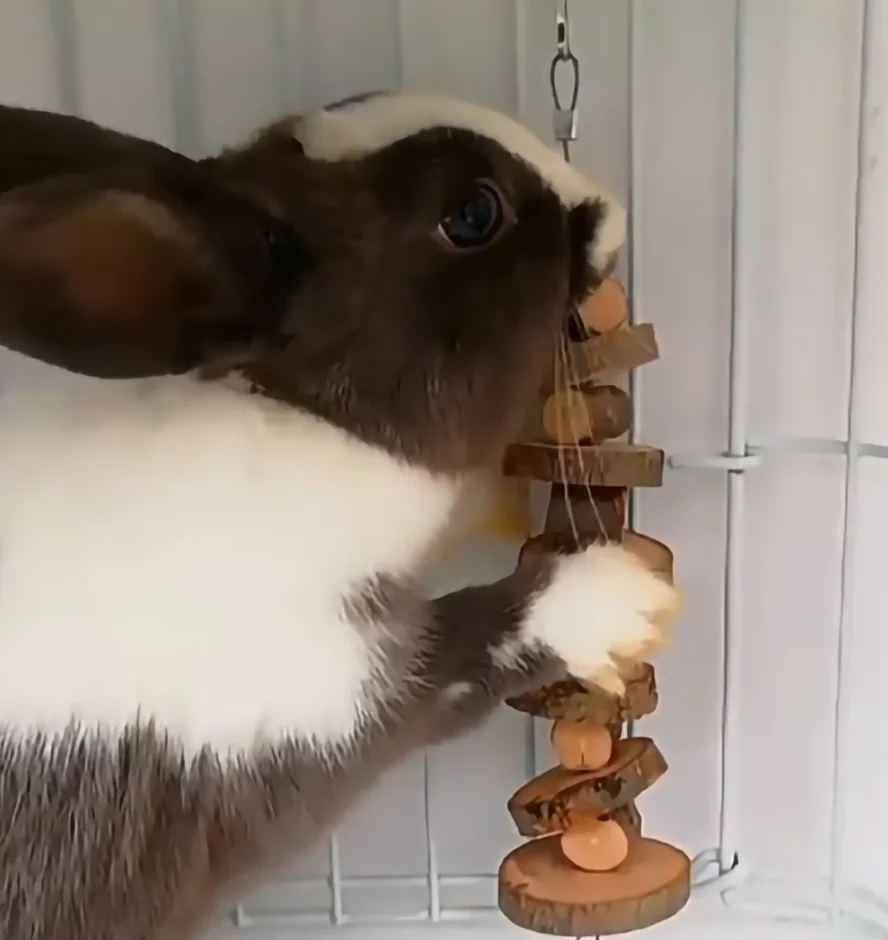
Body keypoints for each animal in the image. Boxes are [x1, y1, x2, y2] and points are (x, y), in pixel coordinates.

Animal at [0, 92, 679, 940]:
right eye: (472, 214)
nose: (608, 211)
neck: (303, 427)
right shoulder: (328, 694)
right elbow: (471, 644)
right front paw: (620, 600)